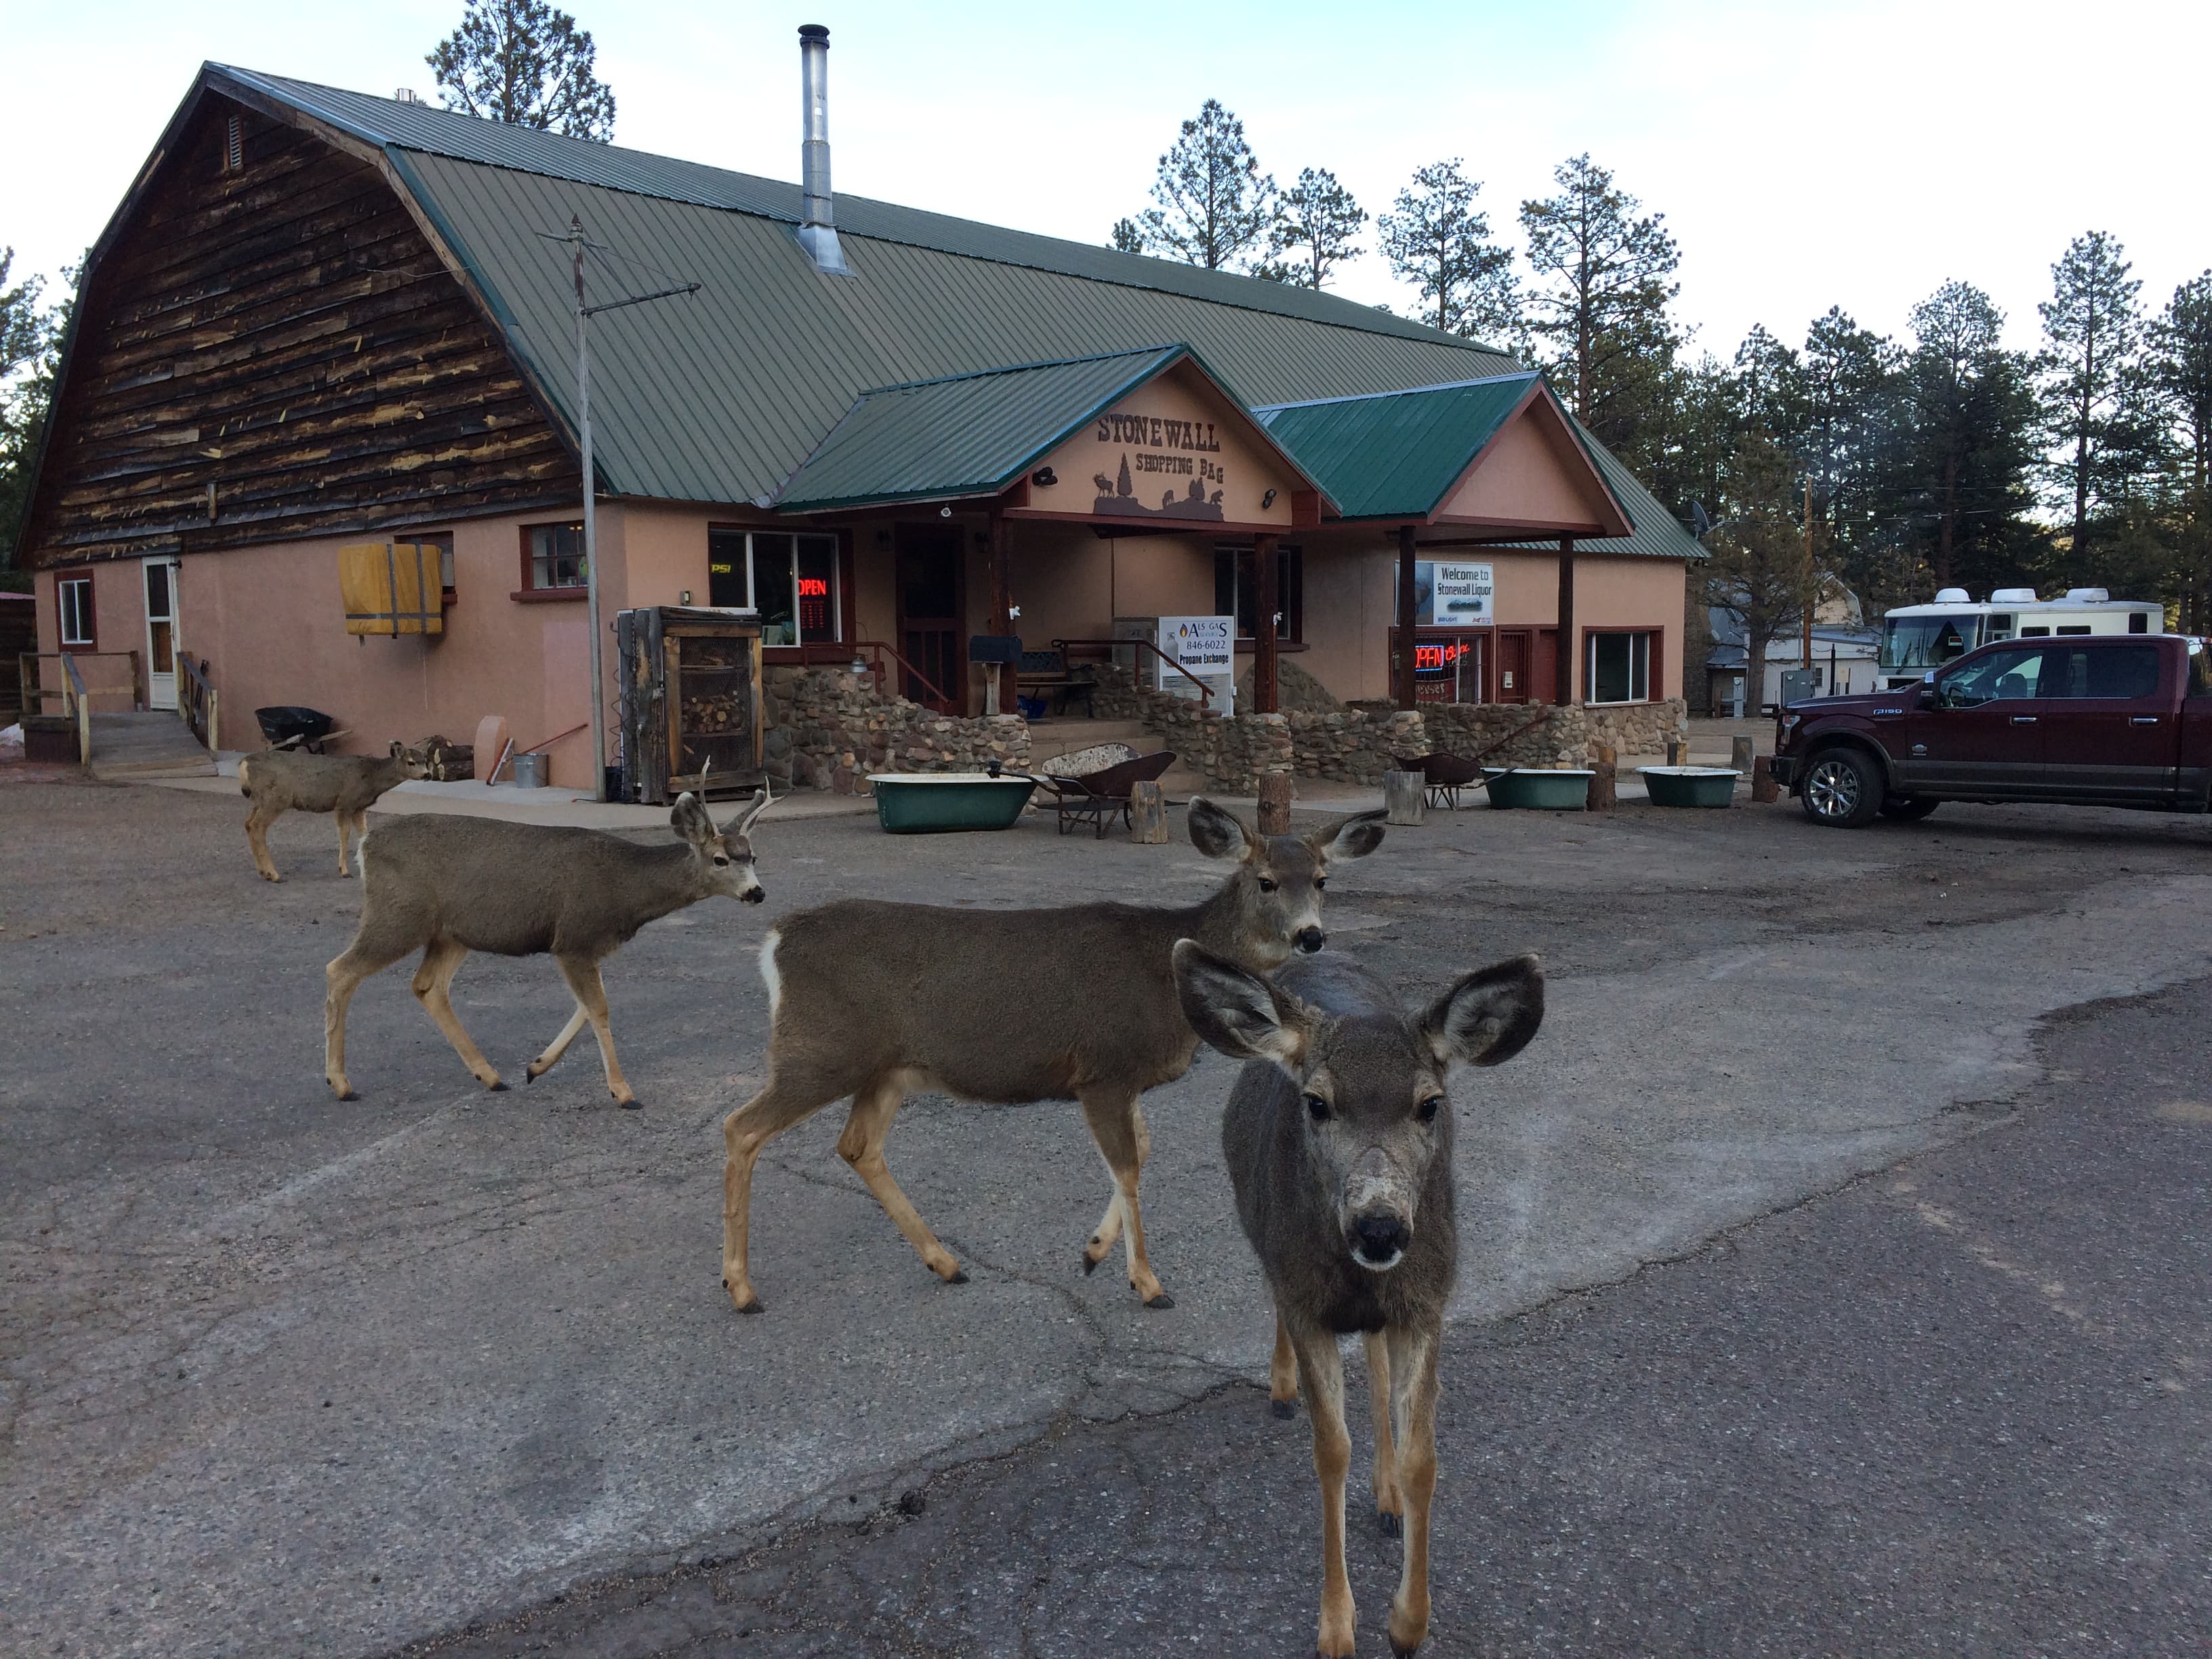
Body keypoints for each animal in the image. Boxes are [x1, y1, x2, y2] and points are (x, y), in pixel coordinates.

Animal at [238, 739, 430, 881]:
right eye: (411, 762)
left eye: (425, 761)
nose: (427, 775)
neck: (371, 778)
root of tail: (244, 764)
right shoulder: (345, 802)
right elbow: (344, 833)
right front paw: (344, 870)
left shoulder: (358, 807)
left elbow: (364, 833)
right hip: (276, 798)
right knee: (257, 826)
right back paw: (274, 874)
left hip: (261, 800)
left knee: (248, 823)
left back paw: (263, 872)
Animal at [323, 786, 773, 1107]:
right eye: (719, 859)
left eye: (753, 856)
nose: (757, 892)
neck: (625, 889)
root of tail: (367, 845)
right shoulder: (573, 937)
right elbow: (599, 1008)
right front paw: (623, 1092)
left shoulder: (584, 946)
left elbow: (588, 1006)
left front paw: (535, 1067)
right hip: (398, 915)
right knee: (339, 970)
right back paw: (341, 1083)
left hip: (450, 933)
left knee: (427, 986)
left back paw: (491, 1076)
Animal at [718, 798, 1386, 1317]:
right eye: (1266, 880)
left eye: (1322, 879)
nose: (1311, 936)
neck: (1165, 972)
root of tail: (775, 943)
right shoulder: (1104, 1068)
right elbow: (1128, 1167)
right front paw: (1148, 1284)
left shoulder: (1122, 1079)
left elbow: (1141, 1152)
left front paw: (1092, 1254)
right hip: (820, 1051)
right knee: (741, 1127)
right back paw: (742, 1288)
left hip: (887, 1070)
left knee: (857, 1146)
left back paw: (946, 1263)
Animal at [1172, 940, 1545, 1659]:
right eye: (1317, 1103)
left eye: (1430, 1104)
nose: (1379, 1227)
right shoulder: (1305, 1300)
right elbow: (1330, 1450)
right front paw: (1337, 1625)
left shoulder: (1426, 1300)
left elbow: (1424, 1456)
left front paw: (1407, 1623)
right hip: (1267, 1238)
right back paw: (1283, 1387)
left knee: (1374, 1363)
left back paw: (1387, 1499)